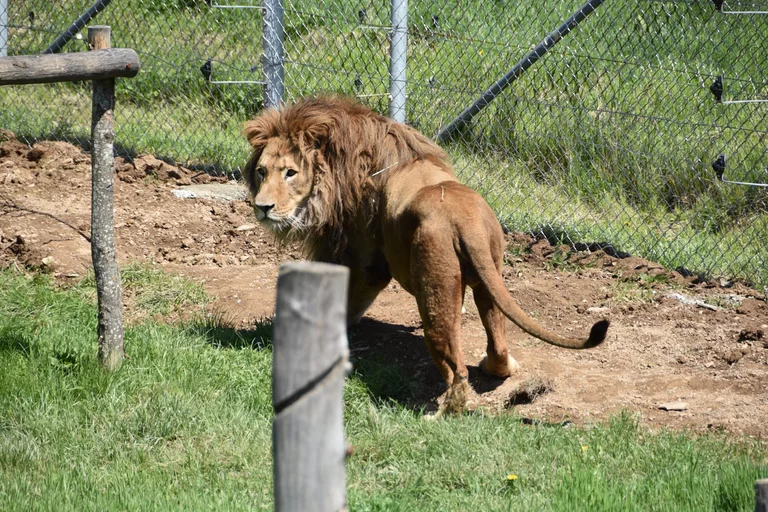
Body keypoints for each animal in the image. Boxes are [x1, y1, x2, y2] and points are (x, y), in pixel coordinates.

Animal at [242, 96, 608, 416]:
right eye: (261, 171)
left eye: (290, 172)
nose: (262, 207)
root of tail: (464, 219)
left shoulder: (363, 255)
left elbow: (349, 297)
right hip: (489, 278)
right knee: (497, 342)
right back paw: (500, 367)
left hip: (435, 292)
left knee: (456, 371)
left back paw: (440, 414)